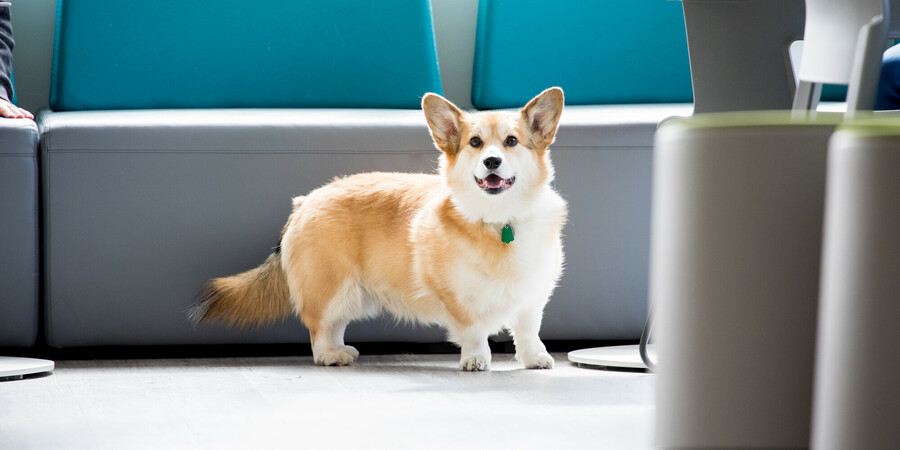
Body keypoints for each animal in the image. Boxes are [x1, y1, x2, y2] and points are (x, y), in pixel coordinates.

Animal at [188, 87, 568, 370]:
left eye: (511, 141)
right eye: (475, 143)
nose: (492, 161)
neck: (499, 221)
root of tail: (305, 201)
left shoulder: (533, 295)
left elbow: (528, 329)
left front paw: (534, 358)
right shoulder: (458, 297)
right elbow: (473, 331)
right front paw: (475, 359)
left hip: (351, 293)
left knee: (335, 325)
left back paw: (341, 350)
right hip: (332, 287)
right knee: (320, 328)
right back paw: (330, 356)